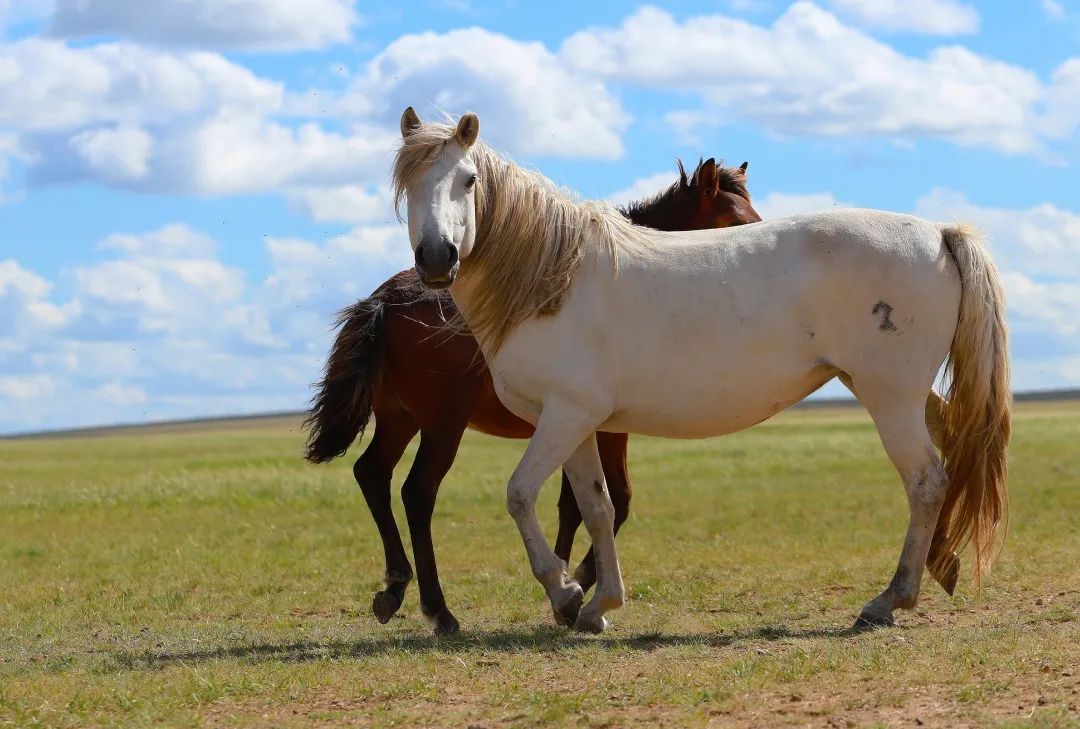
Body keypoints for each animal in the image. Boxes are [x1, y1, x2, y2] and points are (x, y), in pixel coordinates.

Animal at [304, 158, 760, 635]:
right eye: (736, 222)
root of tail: (387, 299)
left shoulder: (574, 425)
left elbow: (574, 504)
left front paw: (567, 582)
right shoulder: (603, 429)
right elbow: (615, 500)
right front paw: (578, 581)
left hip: (399, 419)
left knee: (371, 474)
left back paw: (395, 586)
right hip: (442, 425)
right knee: (417, 493)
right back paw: (438, 608)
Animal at [393, 108, 1006, 635]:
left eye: (469, 179)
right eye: (406, 182)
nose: (437, 259)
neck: (552, 278)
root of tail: (937, 233)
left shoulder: (566, 417)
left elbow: (520, 495)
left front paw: (565, 593)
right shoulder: (577, 423)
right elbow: (597, 506)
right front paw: (598, 604)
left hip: (890, 397)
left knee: (926, 482)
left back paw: (890, 599)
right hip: (896, 392)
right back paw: (936, 569)